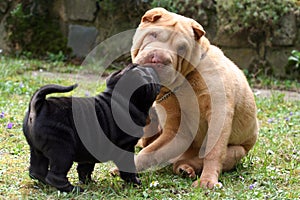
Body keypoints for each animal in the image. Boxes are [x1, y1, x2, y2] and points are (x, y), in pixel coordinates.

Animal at [22, 64, 161, 192]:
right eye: (150, 75)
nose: (154, 66)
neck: (122, 98)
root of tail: (39, 106)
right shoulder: (126, 147)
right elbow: (128, 169)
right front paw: (135, 182)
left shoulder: (89, 150)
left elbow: (85, 168)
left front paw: (88, 182)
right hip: (63, 150)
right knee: (55, 176)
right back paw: (73, 190)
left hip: (36, 150)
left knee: (36, 170)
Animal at [132, 8, 258, 189]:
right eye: (153, 35)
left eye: (182, 48)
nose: (159, 58)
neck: (187, 77)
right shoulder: (175, 129)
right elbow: (147, 152)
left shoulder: (219, 114)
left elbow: (214, 152)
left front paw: (207, 181)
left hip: (237, 150)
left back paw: (185, 168)